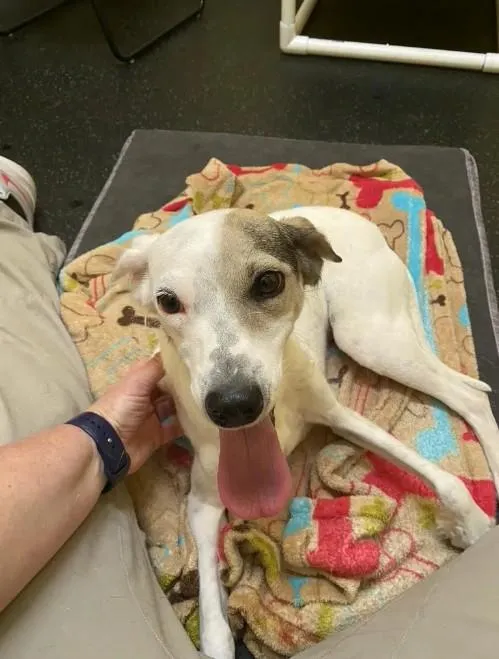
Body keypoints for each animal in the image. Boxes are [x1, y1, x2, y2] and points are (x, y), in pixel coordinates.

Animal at [115, 206, 499, 659]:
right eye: (168, 301)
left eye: (268, 282)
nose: (233, 404)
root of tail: (348, 217)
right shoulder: (204, 501)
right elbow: (213, 622)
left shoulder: (340, 415)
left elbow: (448, 482)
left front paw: (472, 526)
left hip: (368, 337)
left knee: (470, 397)